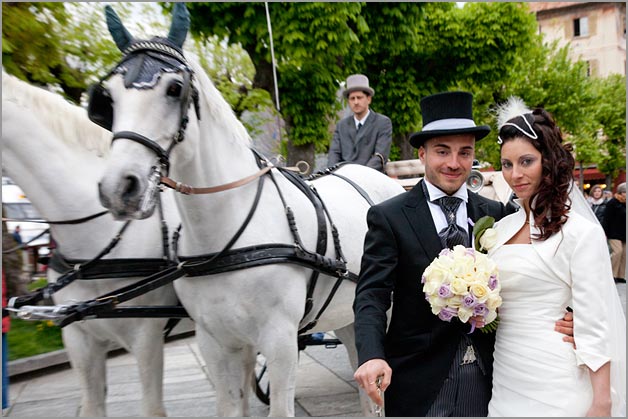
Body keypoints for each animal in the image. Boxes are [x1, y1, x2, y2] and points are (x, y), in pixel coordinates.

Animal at [95, 4, 404, 418]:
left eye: (174, 88)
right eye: (109, 97)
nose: (119, 187)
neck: (224, 235)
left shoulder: (280, 340)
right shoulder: (215, 341)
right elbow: (229, 405)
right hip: (349, 314)